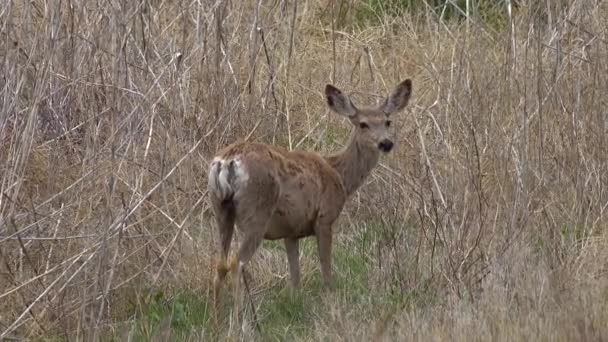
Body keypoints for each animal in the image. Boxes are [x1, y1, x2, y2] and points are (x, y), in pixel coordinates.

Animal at [209, 77, 414, 318]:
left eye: (387, 121)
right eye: (363, 124)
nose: (386, 143)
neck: (340, 175)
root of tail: (228, 161)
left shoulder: (291, 230)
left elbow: (295, 277)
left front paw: (295, 305)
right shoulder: (324, 218)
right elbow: (326, 267)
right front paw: (331, 302)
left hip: (221, 208)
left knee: (220, 263)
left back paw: (217, 317)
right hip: (257, 211)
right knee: (236, 263)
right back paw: (241, 317)